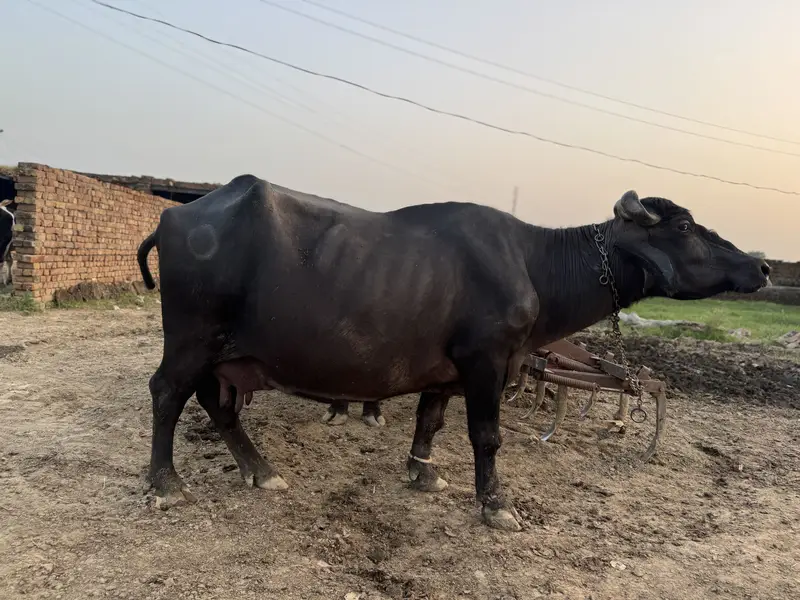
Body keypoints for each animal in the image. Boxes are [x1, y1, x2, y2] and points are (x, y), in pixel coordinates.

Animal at [136, 177, 770, 531]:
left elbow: (431, 420)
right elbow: (486, 436)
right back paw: (165, 482)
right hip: (191, 339)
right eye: (685, 227)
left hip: (223, 356)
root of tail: (179, 212)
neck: (533, 264)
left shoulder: (446, 369)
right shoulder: (487, 361)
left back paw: (261, 470)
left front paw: (423, 472)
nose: (761, 266)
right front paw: (496, 505)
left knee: (219, 407)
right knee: (167, 393)